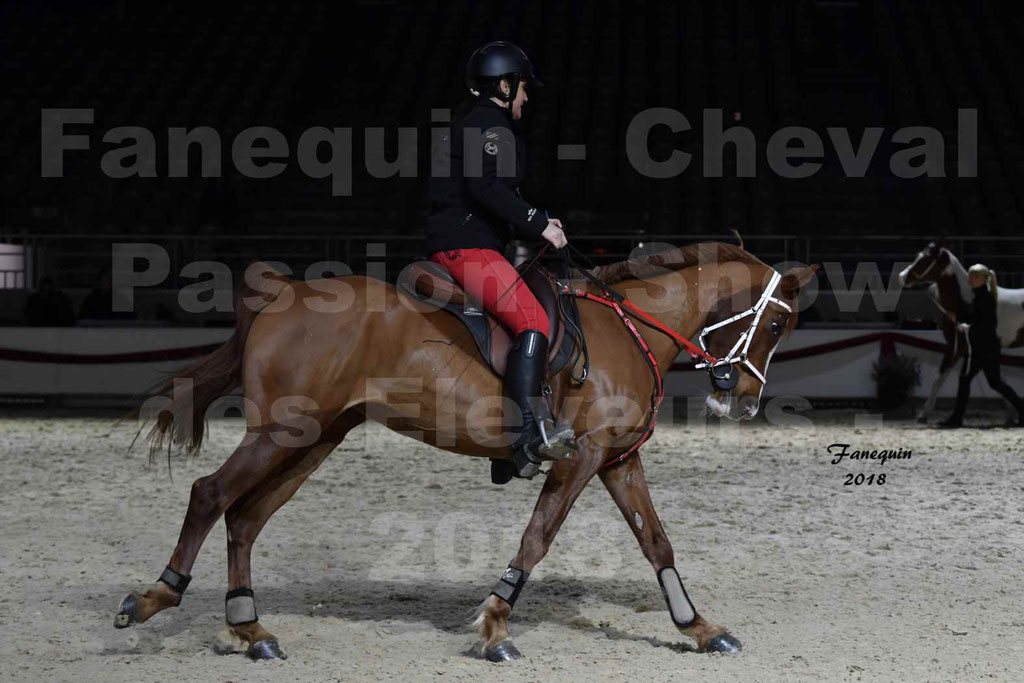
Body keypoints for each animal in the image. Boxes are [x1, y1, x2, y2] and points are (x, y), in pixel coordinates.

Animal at [114, 241, 815, 663]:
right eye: (778, 323)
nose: (744, 402)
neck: (631, 327)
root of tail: (283, 290)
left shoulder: (617, 459)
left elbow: (657, 543)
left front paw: (699, 628)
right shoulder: (580, 458)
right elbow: (538, 537)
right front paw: (495, 625)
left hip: (314, 439)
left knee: (245, 517)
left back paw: (249, 628)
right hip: (281, 434)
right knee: (210, 494)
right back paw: (157, 598)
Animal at [901, 240, 1019, 421]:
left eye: (926, 259)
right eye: (918, 256)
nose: (902, 277)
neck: (967, 300)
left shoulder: (959, 346)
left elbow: (941, 378)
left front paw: (924, 413)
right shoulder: (960, 347)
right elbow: (941, 377)